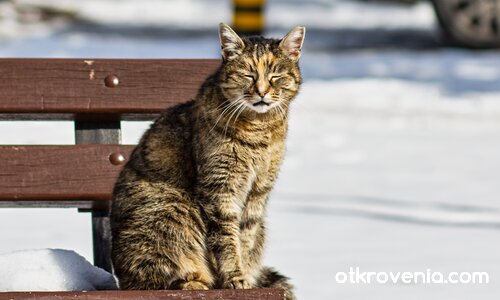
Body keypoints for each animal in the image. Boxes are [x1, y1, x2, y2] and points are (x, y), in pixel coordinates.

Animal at [110, 22, 304, 298]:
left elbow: (244, 239)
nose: (262, 92)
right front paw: (235, 277)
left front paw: (243, 276)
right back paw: (192, 282)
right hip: (170, 206)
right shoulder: (219, 189)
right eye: (248, 75)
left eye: (275, 76)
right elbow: (225, 238)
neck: (260, 129)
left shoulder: (258, 192)